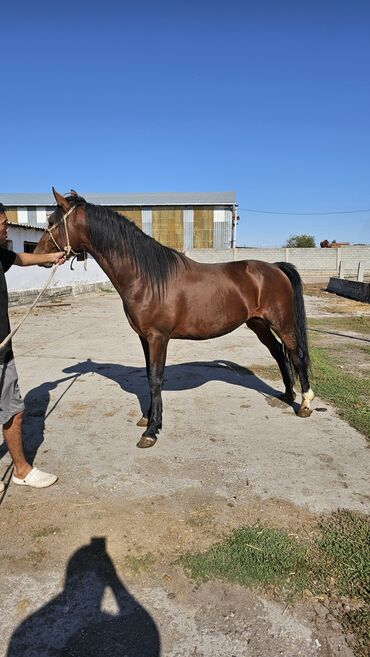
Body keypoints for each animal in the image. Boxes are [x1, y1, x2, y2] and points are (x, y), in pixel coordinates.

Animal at [35, 187, 316, 448]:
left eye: (51, 220)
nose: (39, 255)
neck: (146, 276)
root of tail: (276, 267)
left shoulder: (159, 338)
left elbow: (156, 378)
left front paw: (151, 431)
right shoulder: (144, 338)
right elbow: (149, 376)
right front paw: (148, 418)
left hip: (283, 323)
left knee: (296, 356)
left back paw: (304, 404)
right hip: (258, 324)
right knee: (278, 353)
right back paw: (287, 395)